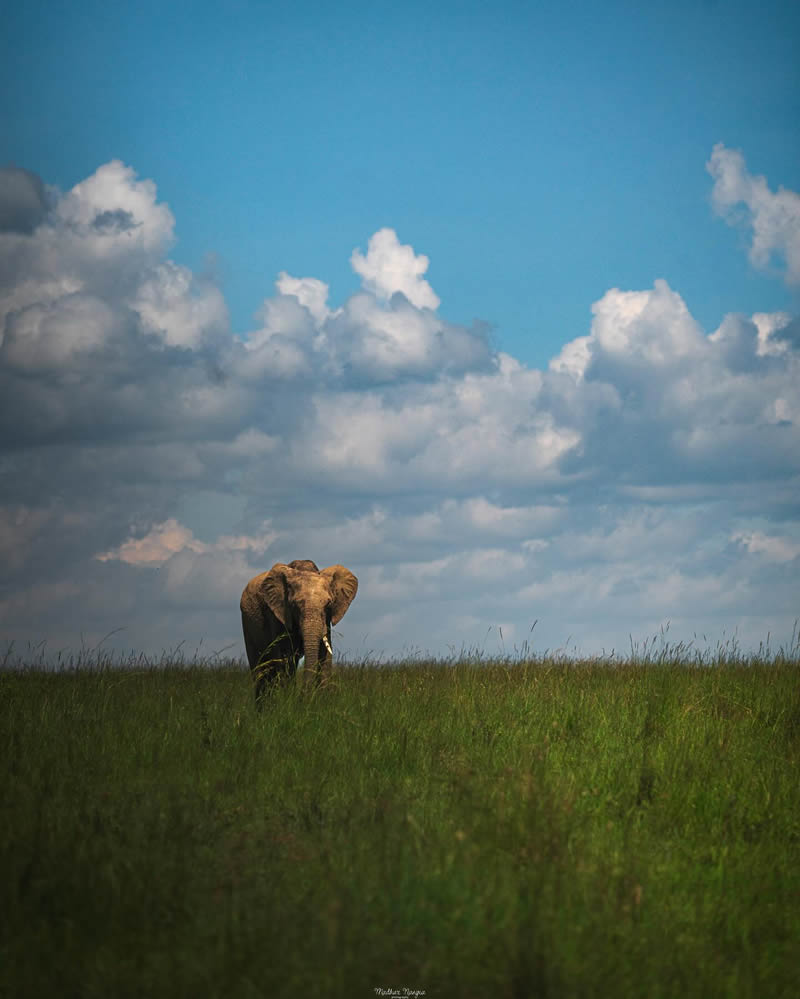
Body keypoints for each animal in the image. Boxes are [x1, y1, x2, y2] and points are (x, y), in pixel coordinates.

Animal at [239, 564, 358, 704]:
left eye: (328, 604)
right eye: (294, 605)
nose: (303, 697)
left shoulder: (327, 620)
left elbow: (324, 656)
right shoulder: (278, 615)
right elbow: (285, 658)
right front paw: (287, 702)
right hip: (247, 623)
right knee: (260, 669)